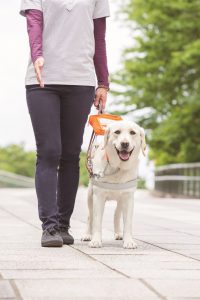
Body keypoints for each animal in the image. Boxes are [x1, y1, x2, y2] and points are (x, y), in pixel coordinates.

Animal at [82, 119, 146, 248]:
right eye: (117, 132)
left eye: (132, 132)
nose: (124, 143)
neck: (118, 168)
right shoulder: (98, 196)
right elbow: (97, 221)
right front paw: (96, 240)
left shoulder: (128, 197)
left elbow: (128, 222)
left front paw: (129, 241)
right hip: (90, 195)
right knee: (90, 216)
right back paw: (87, 235)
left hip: (121, 200)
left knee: (116, 214)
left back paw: (118, 234)